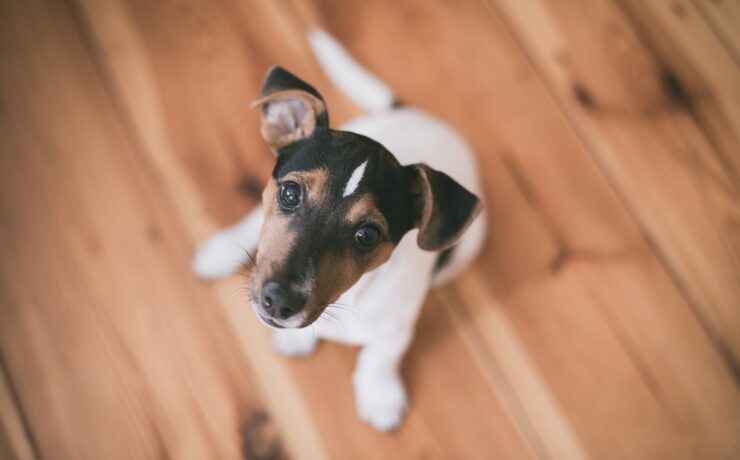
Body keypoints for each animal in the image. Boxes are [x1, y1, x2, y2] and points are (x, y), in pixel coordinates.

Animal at [194, 29, 488, 432]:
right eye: (290, 193)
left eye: (366, 235)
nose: (279, 302)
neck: (350, 297)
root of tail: (422, 117)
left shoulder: (397, 326)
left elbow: (379, 357)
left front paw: (379, 396)